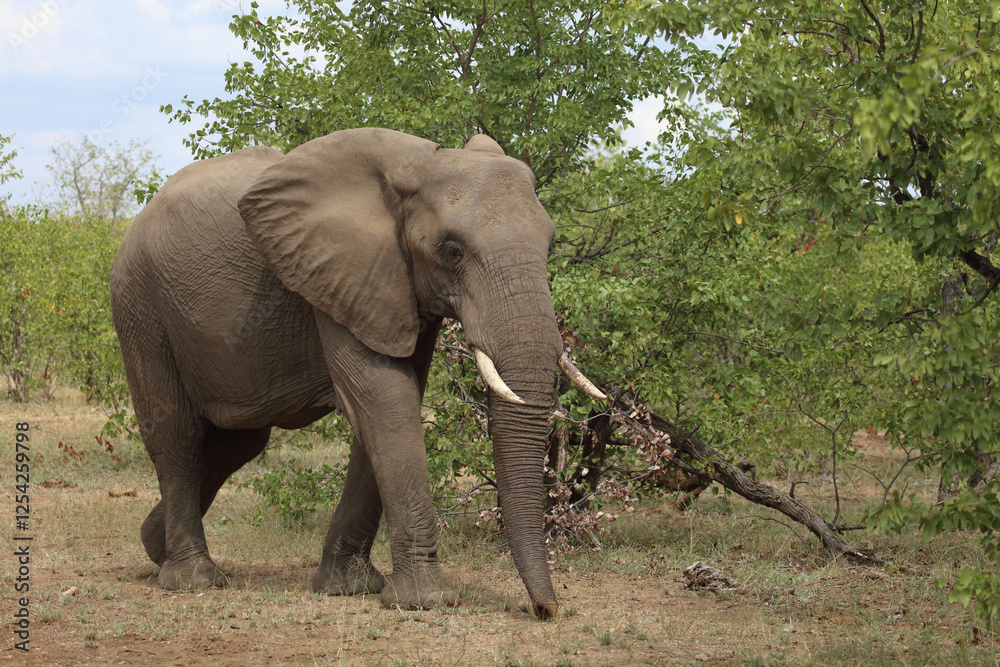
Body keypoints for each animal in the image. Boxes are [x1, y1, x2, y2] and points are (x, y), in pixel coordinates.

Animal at [109, 127, 605, 618]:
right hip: (140, 305)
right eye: (452, 251)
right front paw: (425, 600)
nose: (546, 609)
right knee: (178, 433)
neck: (421, 165)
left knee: (239, 442)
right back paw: (192, 579)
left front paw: (349, 587)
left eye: (550, 244)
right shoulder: (336, 270)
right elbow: (383, 399)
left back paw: (153, 546)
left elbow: (394, 402)